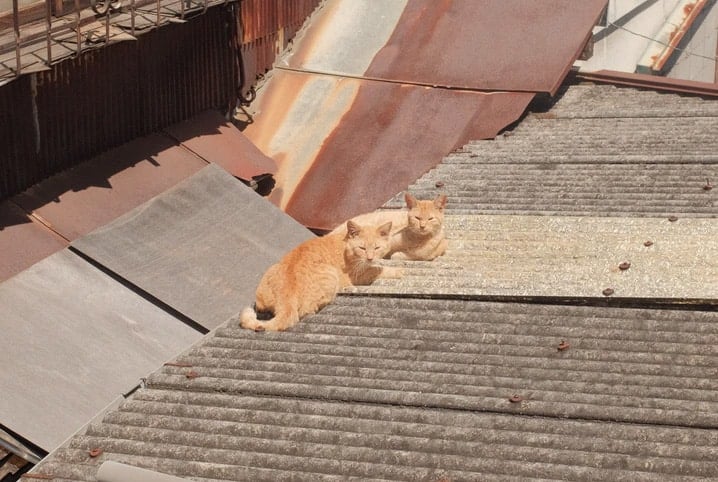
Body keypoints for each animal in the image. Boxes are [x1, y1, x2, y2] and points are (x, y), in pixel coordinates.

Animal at [240, 220, 400, 334]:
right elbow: (380, 270)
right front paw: (399, 271)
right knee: (308, 310)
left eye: (377, 248)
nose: (370, 258)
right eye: (362, 248)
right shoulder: (358, 274)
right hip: (331, 274)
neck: (345, 245)